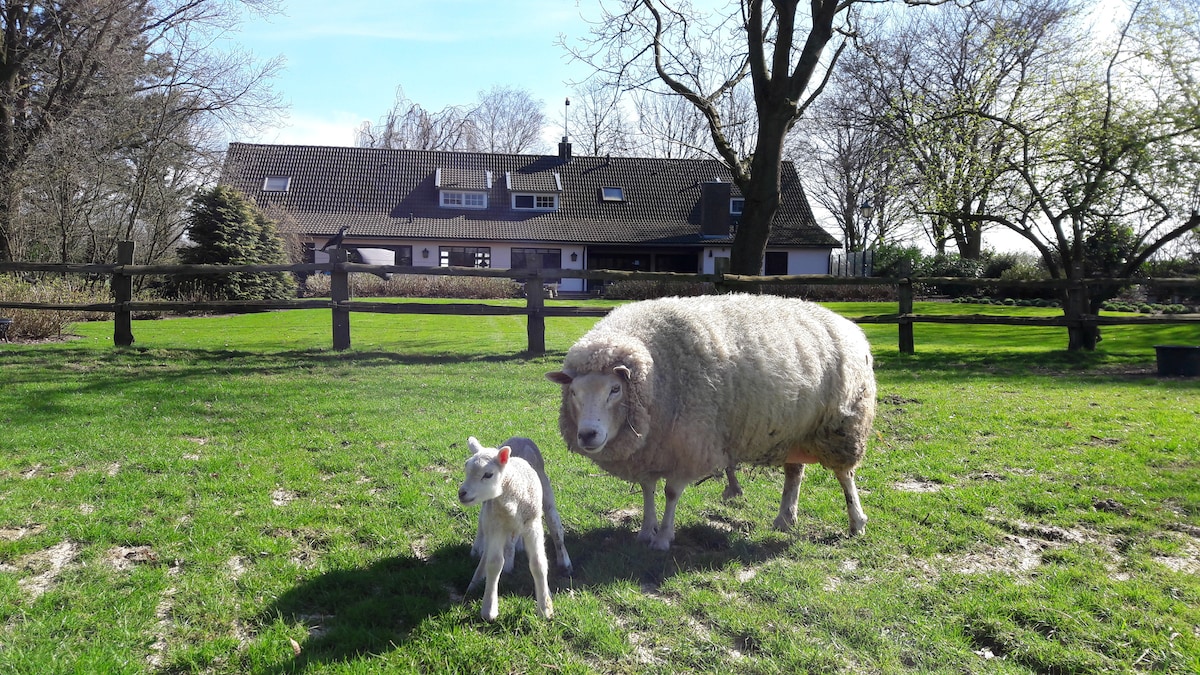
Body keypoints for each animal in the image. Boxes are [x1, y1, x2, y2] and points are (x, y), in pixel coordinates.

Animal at [456, 432, 554, 619]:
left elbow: (538, 563)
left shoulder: (533, 524)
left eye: (488, 474)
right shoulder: (496, 525)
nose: (462, 493)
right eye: (466, 469)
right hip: (489, 515)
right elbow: (494, 563)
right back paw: (475, 581)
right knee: (486, 549)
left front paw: (545, 608)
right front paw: (489, 609)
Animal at [549, 291, 878, 550]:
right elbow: (648, 490)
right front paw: (645, 531)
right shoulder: (650, 449)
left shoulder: (689, 445)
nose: (587, 435)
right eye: (574, 392)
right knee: (794, 473)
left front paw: (663, 538)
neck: (657, 378)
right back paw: (785, 518)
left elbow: (670, 493)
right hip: (793, 430)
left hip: (841, 426)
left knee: (845, 475)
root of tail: (849, 326)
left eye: (615, 390)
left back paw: (857, 523)